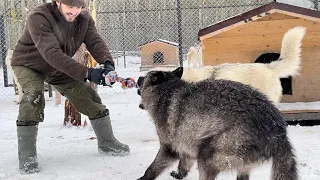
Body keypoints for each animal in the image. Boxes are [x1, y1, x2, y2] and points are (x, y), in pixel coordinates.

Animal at [136, 67, 298, 180]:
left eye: (144, 77)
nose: (137, 77)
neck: (167, 91)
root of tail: (279, 134)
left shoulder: (169, 149)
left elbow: (152, 169)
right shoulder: (187, 147)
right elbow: (183, 164)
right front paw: (179, 174)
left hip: (207, 156)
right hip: (239, 166)